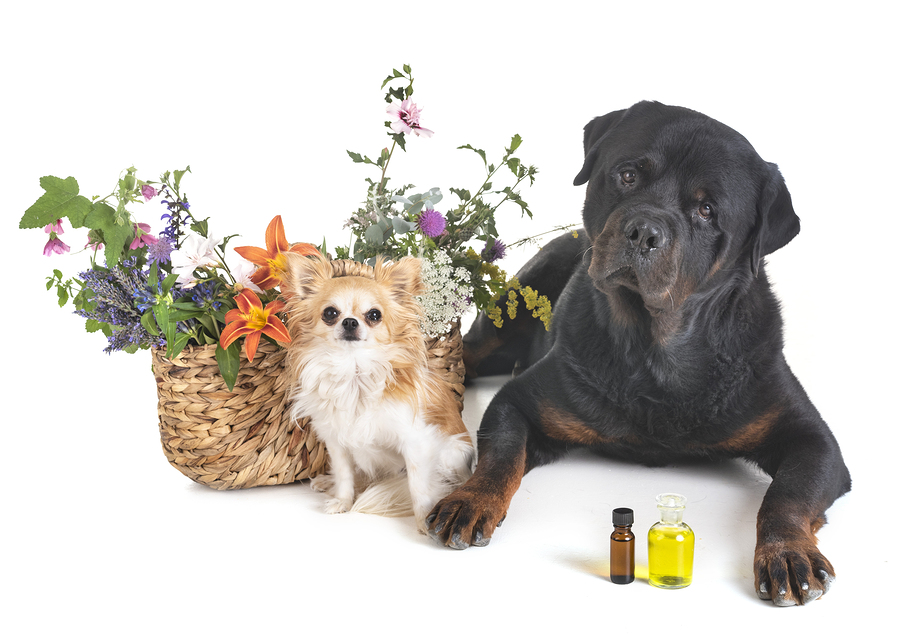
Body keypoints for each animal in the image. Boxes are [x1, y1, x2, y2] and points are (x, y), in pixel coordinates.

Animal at [428, 100, 852, 608]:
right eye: (628, 175)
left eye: (706, 210)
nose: (644, 231)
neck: (655, 354)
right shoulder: (519, 402)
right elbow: (501, 455)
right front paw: (472, 499)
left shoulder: (811, 439)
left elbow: (788, 494)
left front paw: (787, 552)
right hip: (510, 309)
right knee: (468, 354)